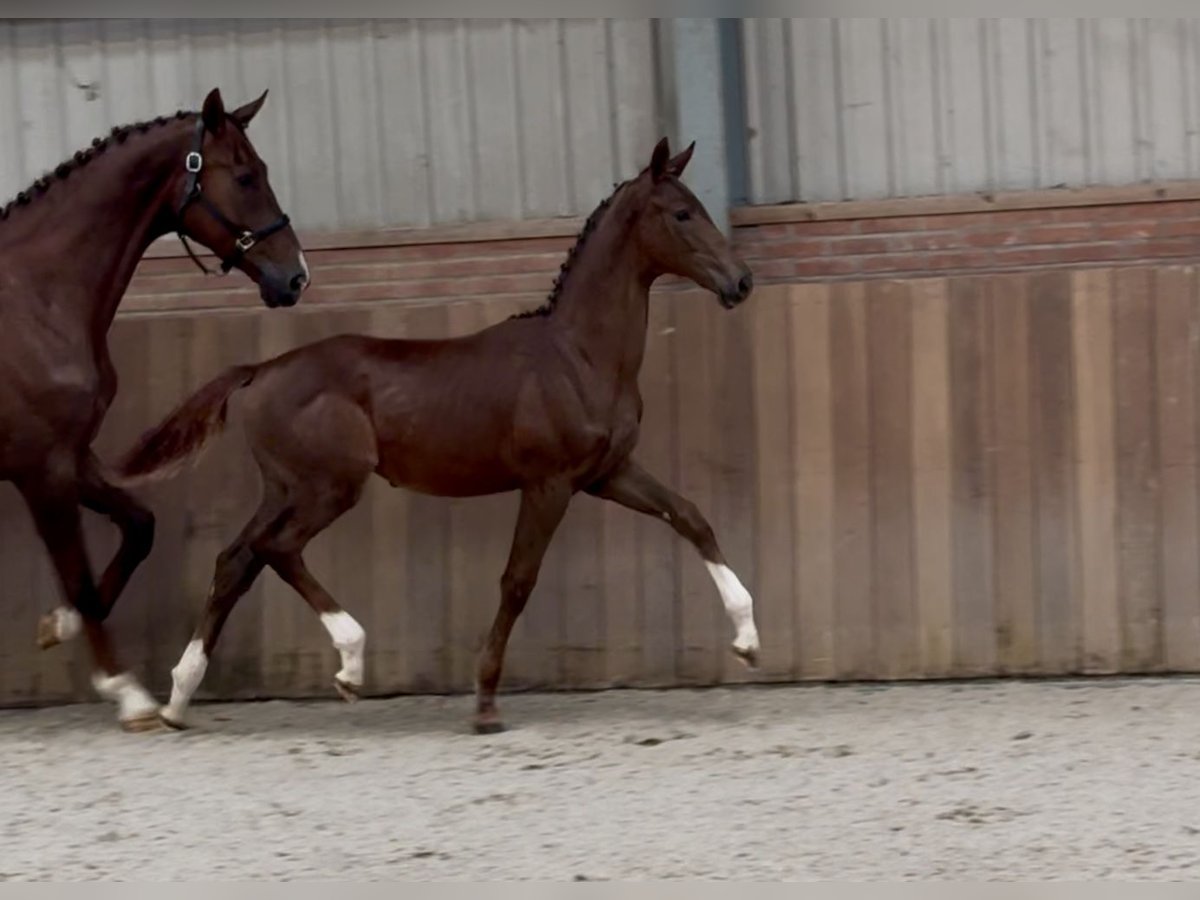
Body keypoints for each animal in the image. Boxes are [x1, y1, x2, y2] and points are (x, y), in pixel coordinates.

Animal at [0, 87, 309, 731]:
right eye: (245, 176)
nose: (296, 277)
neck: (35, 299)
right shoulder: (40, 469)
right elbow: (79, 575)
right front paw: (129, 694)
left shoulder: (71, 456)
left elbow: (139, 529)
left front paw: (57, 626)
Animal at [116, 136, 760, 734]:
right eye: (681, 213)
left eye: (700, 207)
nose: (742, 281)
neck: (578, 356)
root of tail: (260, 370)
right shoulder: (548, 483)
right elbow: (517, 582)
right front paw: (485, 705)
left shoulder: (607, 473)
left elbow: (691, 517)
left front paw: (748, 642)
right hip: (329, 487)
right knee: (276, 549)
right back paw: (349, 663)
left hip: (285, 488)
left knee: (236, 560)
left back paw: (178, 699)